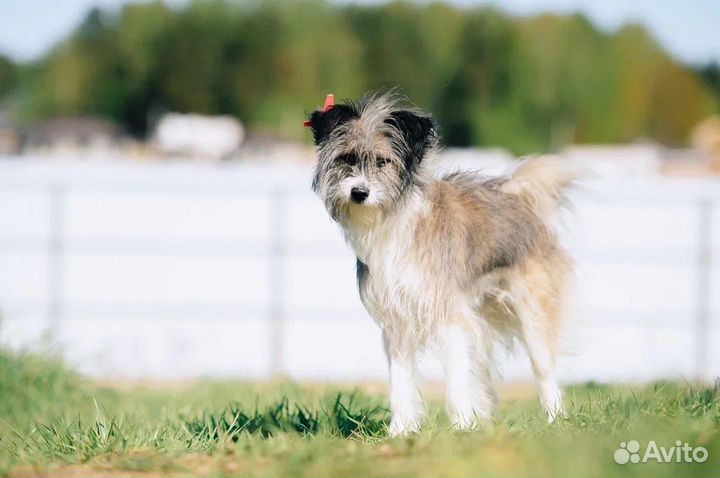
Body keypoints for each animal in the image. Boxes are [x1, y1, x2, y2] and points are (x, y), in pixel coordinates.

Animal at [306, 91, 576, 436]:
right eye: (347, 159)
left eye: (383, 161)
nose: (359, 193)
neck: (396, 223)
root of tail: (517, 195)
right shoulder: (398, 325)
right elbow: (402, 384)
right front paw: (400, 431)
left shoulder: (450, 318)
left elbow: (457, 381)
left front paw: (461, 427)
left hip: (534, 317)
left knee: (544, 371)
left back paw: (554, 420)